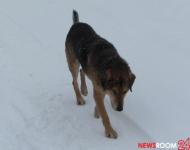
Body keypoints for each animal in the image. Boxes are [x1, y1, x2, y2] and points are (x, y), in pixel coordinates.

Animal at [65, 9, 137, 139]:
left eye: (125, 91)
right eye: (114, 91)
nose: (120, 109)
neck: (111, 61)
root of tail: (76, 24)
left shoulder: (101, 88)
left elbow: (100, 105)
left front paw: (96, 112)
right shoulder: (99, 90)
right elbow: (105, 114)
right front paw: (110, 131)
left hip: (82, 63)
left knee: (82, 70)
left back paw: (84, 90)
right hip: (73, 62)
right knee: (74, 81)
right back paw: (80, 98)